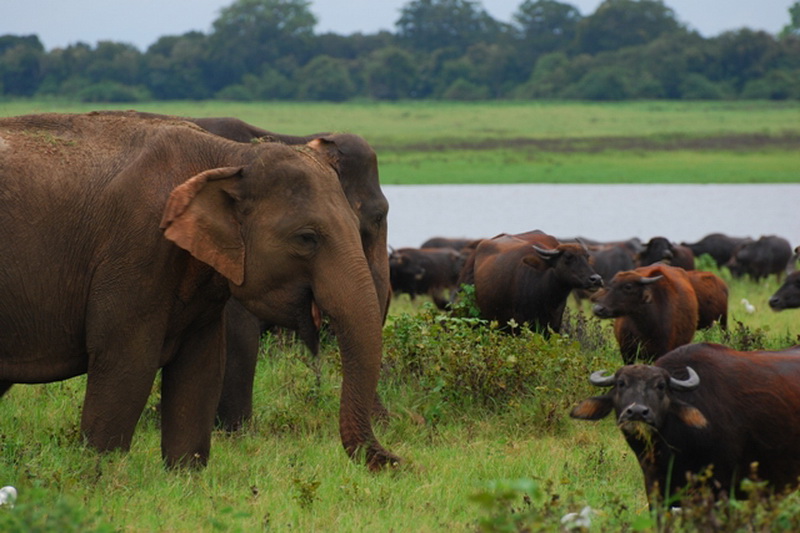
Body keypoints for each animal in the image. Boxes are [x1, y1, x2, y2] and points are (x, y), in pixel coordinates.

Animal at [0, 112, 398, 470]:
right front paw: (99, 475)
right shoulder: (135, 251)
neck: (232, 155)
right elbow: (127, 360)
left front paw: (185, 475)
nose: (396, 459)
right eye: (307, 238)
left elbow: (202, 365)